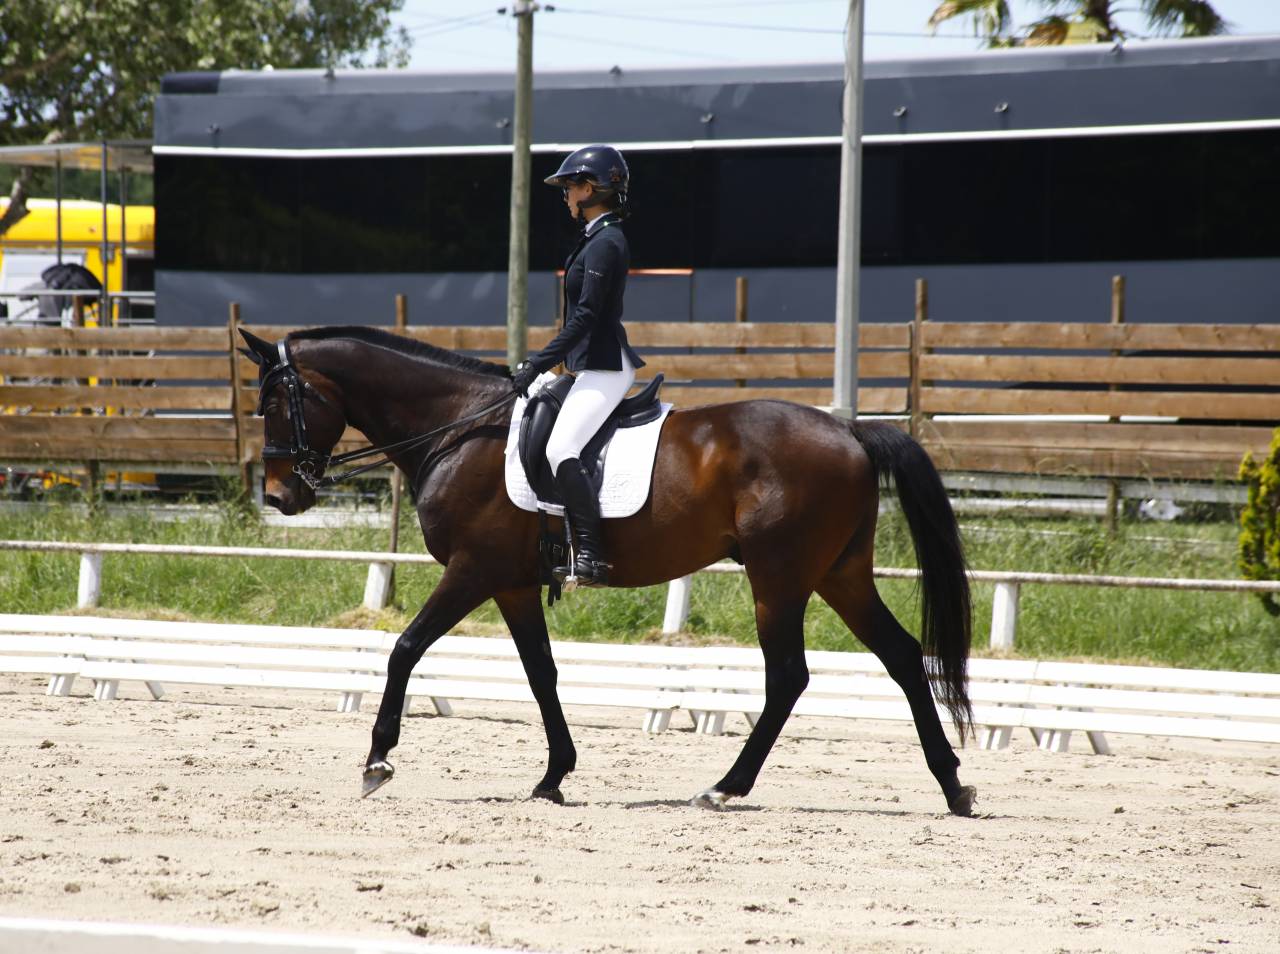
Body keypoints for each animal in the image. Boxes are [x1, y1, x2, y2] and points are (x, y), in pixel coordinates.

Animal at [239, 325, 977, 816]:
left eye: (274, 403)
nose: (279, 497)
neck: (458, 427)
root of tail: (851, 430)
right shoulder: (512, 583)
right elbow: (541, 673)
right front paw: (553, 777)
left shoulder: (474, 570)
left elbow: (405, 647)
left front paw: (377, 760)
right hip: (839, 574)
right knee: (903, 656)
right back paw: (953, 785)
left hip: (780, 577)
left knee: (789, 677)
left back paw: (724, 787)